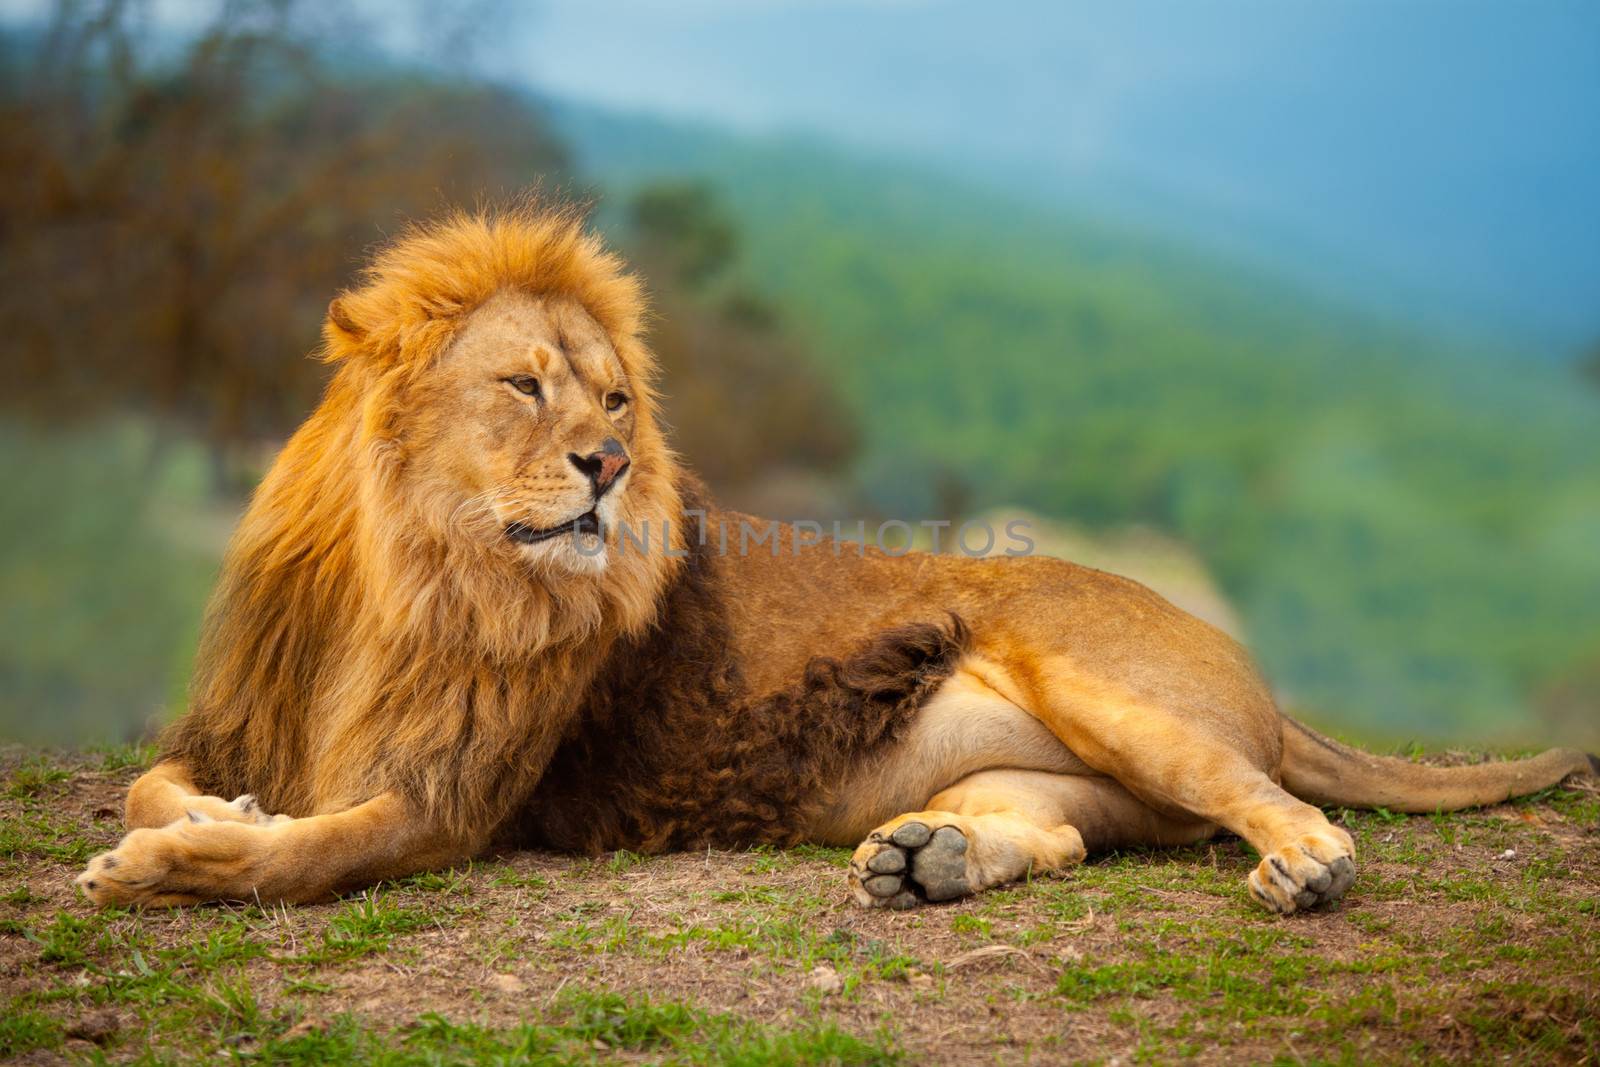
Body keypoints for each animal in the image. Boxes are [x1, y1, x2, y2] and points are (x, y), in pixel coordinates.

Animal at [78, 207, 1600, 921]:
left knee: (1274, 798)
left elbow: (303, 854)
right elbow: (164, 778)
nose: (608, 465)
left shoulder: (456, 798)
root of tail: (1261, 678)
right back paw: (927, 861)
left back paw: (1306, 870)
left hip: (1103, 681)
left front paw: (175, 861)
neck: (412, 573)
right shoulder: (242, 714)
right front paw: (206, 812)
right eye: (522, 385)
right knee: (1066, 826)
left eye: (615, 398)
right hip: (1067, 774)